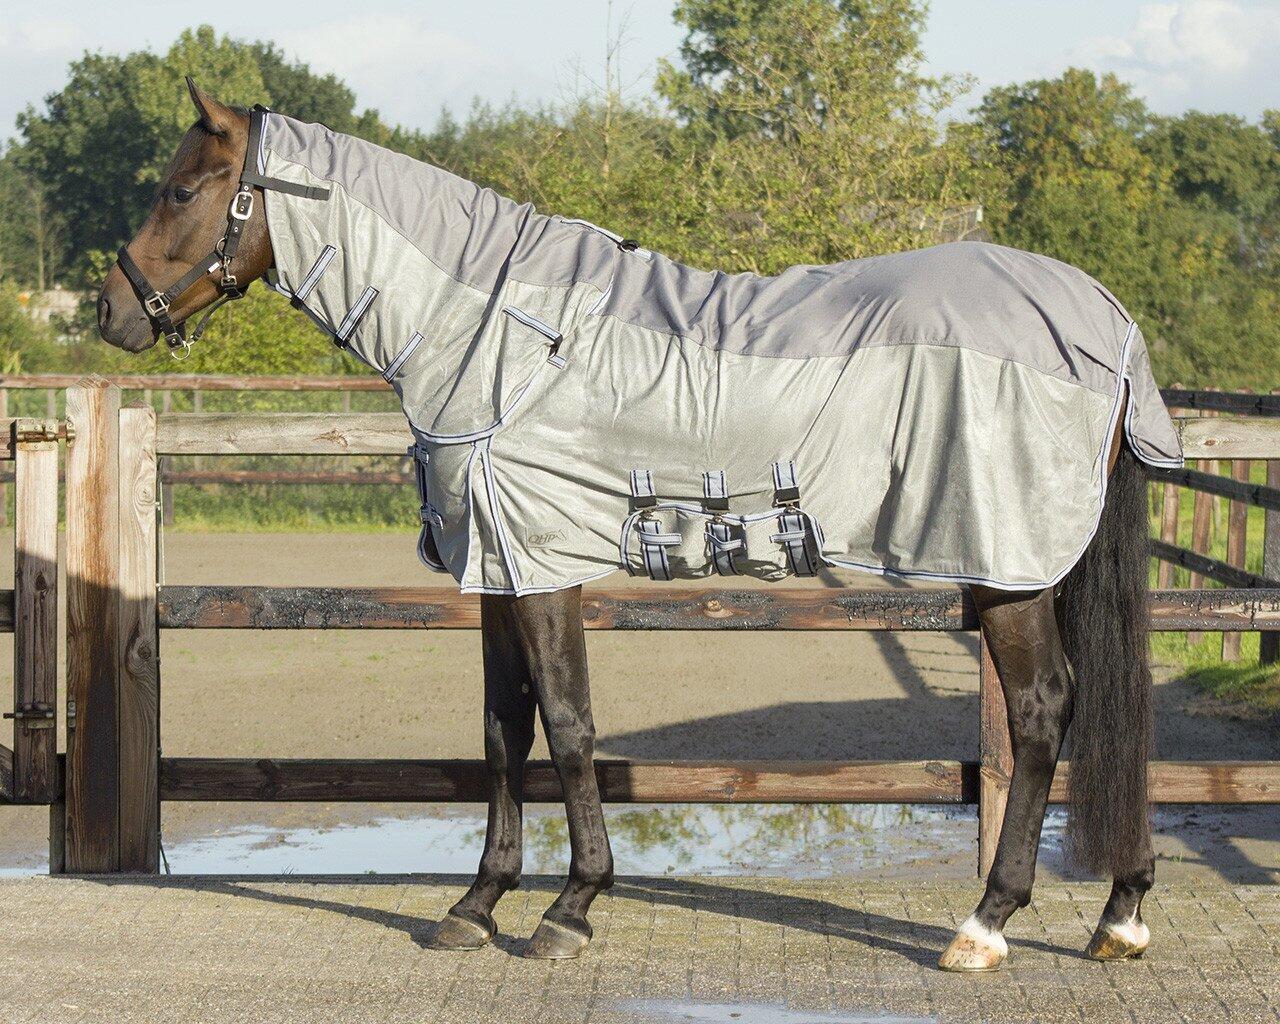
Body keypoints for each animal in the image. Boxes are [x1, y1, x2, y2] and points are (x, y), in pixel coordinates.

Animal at [98, 81, 1179, 970]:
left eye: (185, 190)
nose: (113, 312)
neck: (499, 337)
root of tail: (1100, 315)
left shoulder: (540, 569)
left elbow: (570, 725)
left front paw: (570, 908)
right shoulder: (499, 572)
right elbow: (503, 731)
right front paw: (476, 903)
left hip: (1008, 568)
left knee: (1040, 709)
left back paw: (986, 924)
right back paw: (1119, 912)